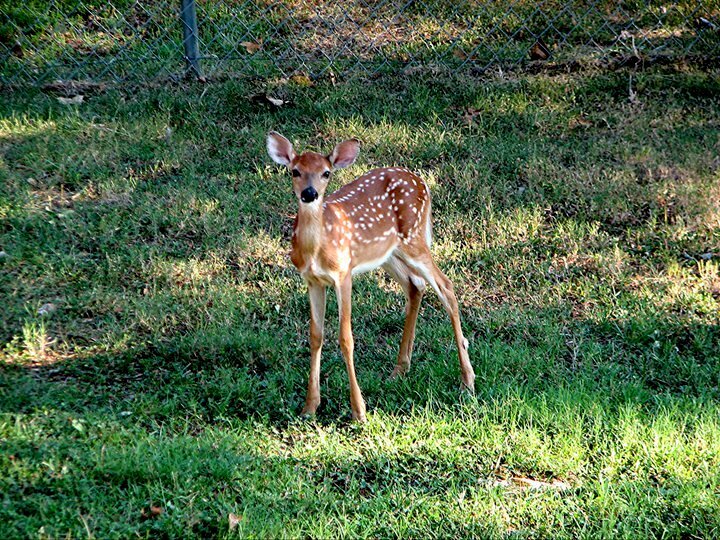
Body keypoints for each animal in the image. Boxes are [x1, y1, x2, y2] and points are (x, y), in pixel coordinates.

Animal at [268, 132, 476, 422]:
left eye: (326, 173)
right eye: (295, 171)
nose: (310, 193)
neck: (317, 248)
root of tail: (422, 182)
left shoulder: (343, 274)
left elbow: (346, 338)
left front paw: (359, 411)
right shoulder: (312, 281)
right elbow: (315, 336)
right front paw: (309, 407)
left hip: (414, 239)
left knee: (445, 286)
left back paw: (467, 381)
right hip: (389, 253)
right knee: (415, 285)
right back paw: (400, 369)